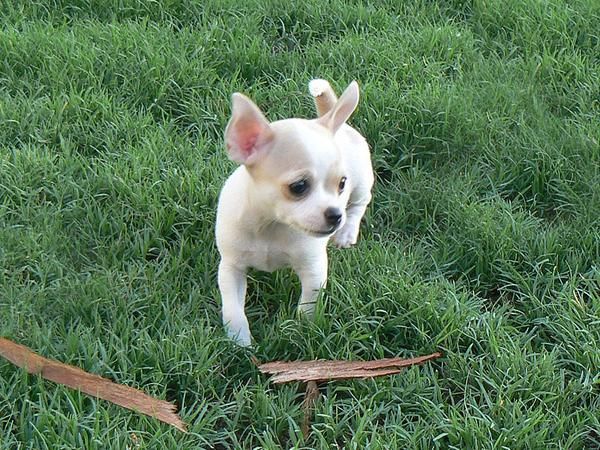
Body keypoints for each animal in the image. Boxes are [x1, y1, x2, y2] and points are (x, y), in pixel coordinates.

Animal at [216, 79, 372, 346]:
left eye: (342, 184)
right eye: (298, 186)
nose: (335, 215)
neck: (271, 225)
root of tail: (334, 123)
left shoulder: (313, 270)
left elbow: (308, 304)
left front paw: (300, 330)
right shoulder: (230, 268)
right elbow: (233, 309)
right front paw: (240, 341)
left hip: (362, 180)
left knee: (360, 203)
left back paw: (347, 232)